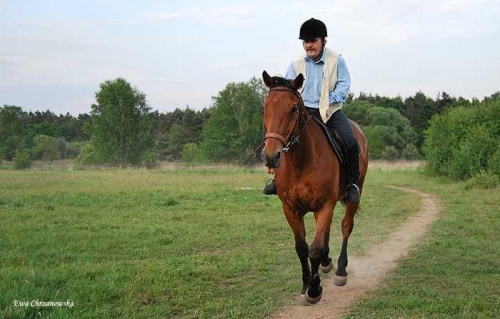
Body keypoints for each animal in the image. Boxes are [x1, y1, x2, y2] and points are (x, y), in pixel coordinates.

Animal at [260, 72, 370, 304]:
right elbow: (302, 248)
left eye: (293, 108)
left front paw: (314, 289)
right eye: (265, 107)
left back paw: (340, 270)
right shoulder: (290, 208)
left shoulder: (325, 204)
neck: (301, 161)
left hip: (353, 196)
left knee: (346, 226)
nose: (271, 156)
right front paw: (305, 285)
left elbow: (315, 249)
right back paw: (328, 263)